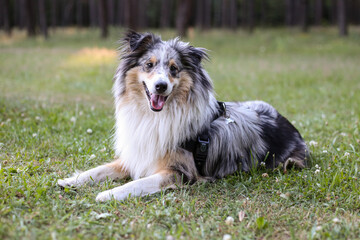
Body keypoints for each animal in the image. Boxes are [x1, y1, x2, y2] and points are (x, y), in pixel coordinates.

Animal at [57, 31, 310, 202]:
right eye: (149, 65)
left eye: (174, 69)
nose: (160, 86)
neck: (155, 117)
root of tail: (289, 125)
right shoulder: (138, 154)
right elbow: (98, 170)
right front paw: (68, 181)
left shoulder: (180, 173)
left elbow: (137, 183)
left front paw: (107, 194)